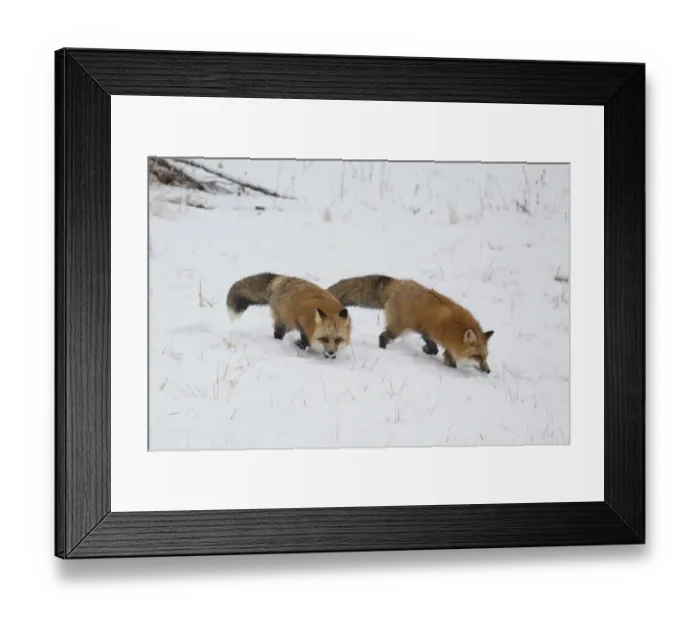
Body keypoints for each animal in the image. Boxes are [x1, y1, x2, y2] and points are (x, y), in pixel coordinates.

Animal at [327, 275, 494, 373]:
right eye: (477, 356)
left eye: (486, 357)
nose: (488, 371)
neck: (456, 327)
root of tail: (397, 282)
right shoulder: (443, 339)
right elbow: (447, 356)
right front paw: (451, 367)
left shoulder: (425, 328)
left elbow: (432, 345)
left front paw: (428, 350)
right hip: (398, 327)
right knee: (383, 336)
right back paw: (383, 349)